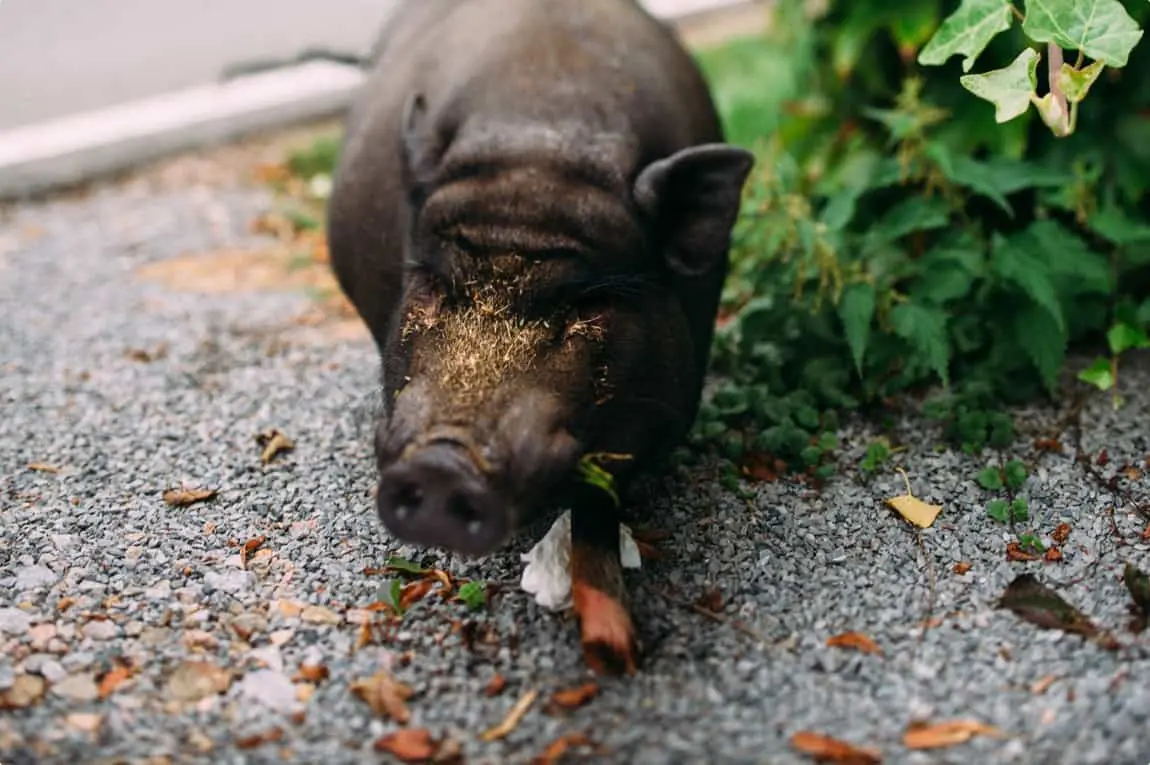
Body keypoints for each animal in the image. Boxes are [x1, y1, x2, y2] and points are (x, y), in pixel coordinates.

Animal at [324, 0, 754, 671]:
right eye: (433, 282)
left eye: (584, 302)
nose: (445, 460)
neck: (537, 150)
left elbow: (597, 510)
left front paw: (613, 652)